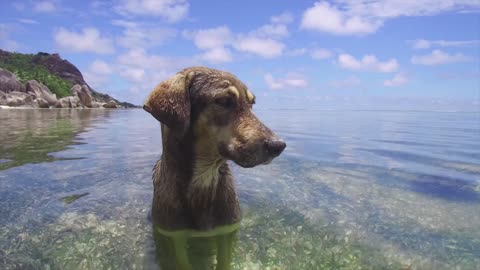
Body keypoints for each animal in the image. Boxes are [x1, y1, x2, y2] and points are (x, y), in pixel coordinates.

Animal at [142, 66, 284, 268]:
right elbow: (182, 262)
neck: (204, 177)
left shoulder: (226, 231)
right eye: (224, 101)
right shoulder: (174, 236)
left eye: (251, 104)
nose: (278, 145)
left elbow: (224, 261)